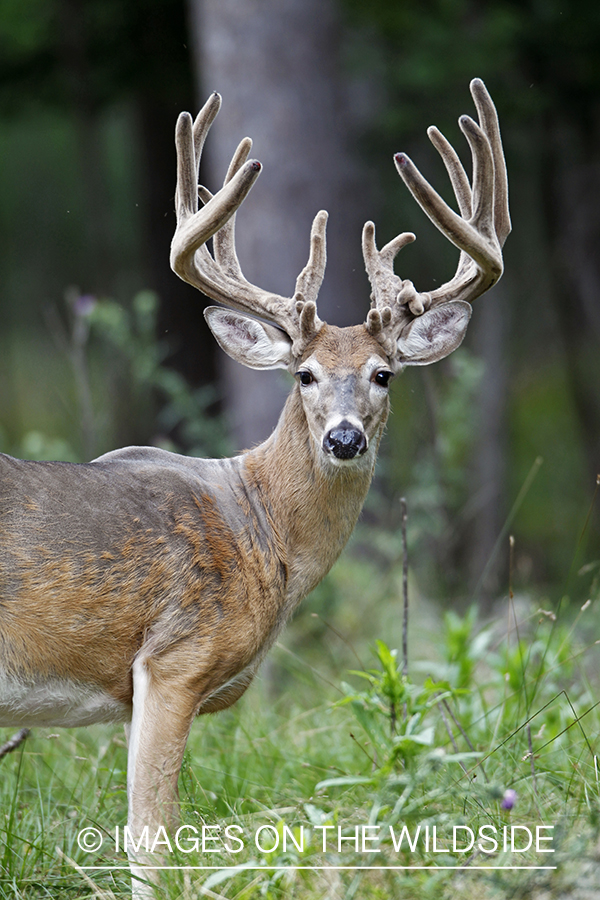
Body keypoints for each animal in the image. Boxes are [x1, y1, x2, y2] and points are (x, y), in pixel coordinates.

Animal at [0, 81, 510, 896]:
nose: (344, 438)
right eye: (303, 374)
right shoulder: (174, 658)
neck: (260, 527)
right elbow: (152, 844)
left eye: (384, 374)